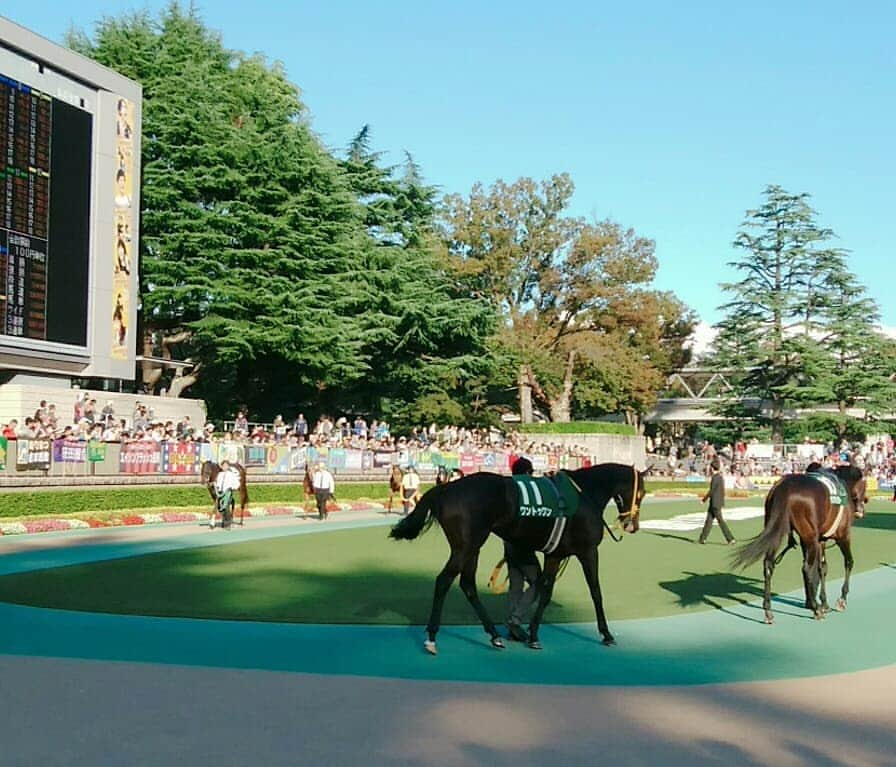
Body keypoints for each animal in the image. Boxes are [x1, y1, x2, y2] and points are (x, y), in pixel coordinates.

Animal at [390, 462, 644, 656]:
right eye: (640, 493)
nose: (633, 525)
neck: (585, 494)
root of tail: (446, 489)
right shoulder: (589, 551)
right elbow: (595, 592)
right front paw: (607, 634)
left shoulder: (555, 554)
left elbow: (545, 592)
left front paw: (533, 635)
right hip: (465, 547)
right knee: (444, 581)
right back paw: (432, 638)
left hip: (472, 547)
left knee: (468, 585)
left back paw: (494, 636)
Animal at [736, 468, 868, 624]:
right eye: (864, 487)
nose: (861, 510)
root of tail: (785, 486)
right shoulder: (843, 536)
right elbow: (848, 562)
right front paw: (841, 600)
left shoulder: (821, 540)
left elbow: (822, 568)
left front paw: (824, 603)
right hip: (809, 537)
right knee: (806, 568)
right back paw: (815, 610)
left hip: (776, 529)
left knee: (769, 565)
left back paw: (769, 611)